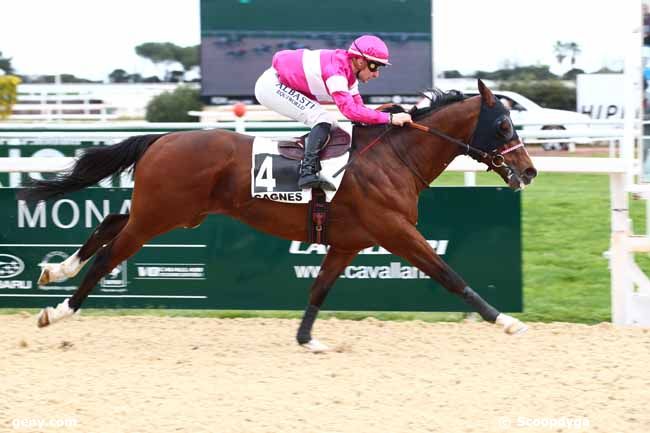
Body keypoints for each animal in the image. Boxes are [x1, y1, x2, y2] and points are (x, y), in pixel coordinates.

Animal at [19, 80, 536, 352]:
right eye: (503, 125)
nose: (529, 171)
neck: (395, 156)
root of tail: (161, 138)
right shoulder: (396, 230)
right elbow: (450, 275)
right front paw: (506, 321)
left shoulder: (349, 241)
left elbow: (319, 288)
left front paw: (308, 339)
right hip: (158, 216)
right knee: (109, 257)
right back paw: (57, 309)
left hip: (170, 212)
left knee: (109, 223)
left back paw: (53, 270)